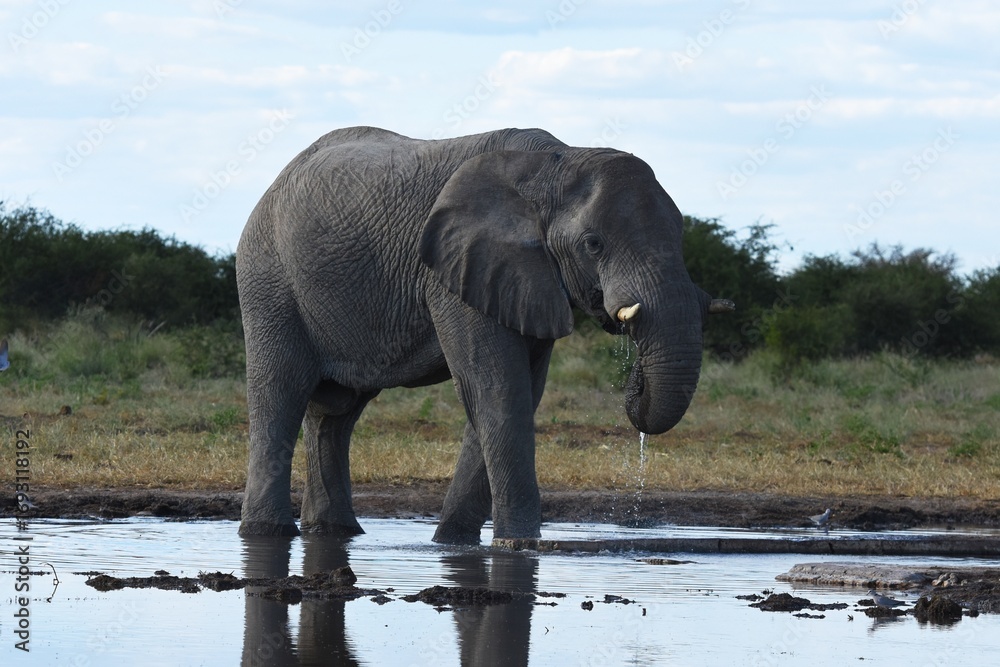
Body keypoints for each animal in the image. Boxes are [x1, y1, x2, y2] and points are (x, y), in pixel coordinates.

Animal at [236, 126, 733, 544]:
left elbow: (516, 393)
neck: (555, 164)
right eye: (593, 244)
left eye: (682, 234)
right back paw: (266, 533)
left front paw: (453, 544)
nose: (634, 376)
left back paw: (337, 532)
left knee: (334, 413)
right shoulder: (455, 271)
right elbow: (496, 389)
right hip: (267, 277)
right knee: (281, 391)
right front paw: (520, 545)